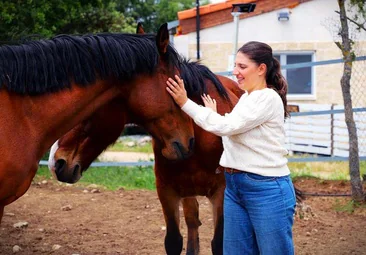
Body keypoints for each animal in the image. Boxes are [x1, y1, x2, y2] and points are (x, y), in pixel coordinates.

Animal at [48, 53, 243, 255]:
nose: (56, 162)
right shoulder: (167, 191)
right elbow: (174, 241)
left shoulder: (221, 194)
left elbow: (219, 243)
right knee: (192, 221)